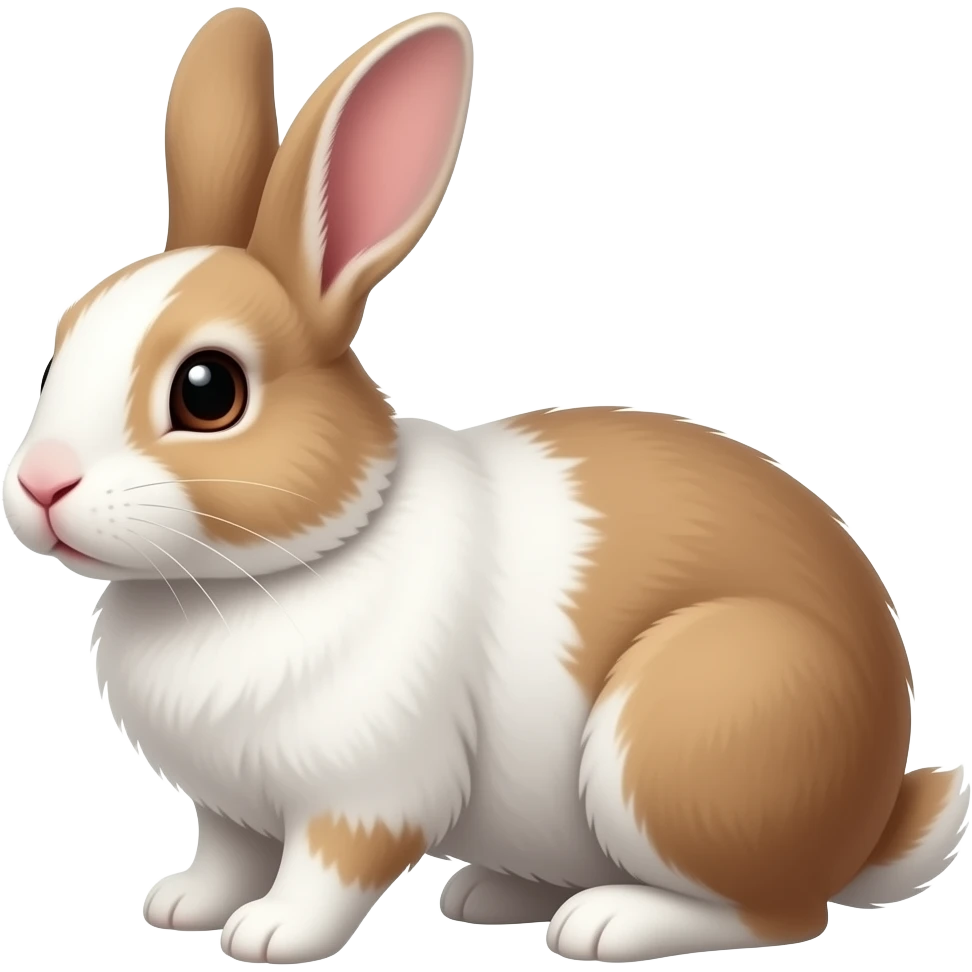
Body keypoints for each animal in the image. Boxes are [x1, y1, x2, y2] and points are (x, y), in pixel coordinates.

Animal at [2, 7, 967, 966]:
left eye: (208, 391)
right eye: (63, 332)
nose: (41, 485)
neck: (276, 567)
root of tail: (868, 822)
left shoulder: (367, 788)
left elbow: (326, 871)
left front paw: (270, 935)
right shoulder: (227, 805)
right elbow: (225, 854)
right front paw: (178, 905)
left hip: (693, 726)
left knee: (778, 914)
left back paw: (606, 923)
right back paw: (490, 894)